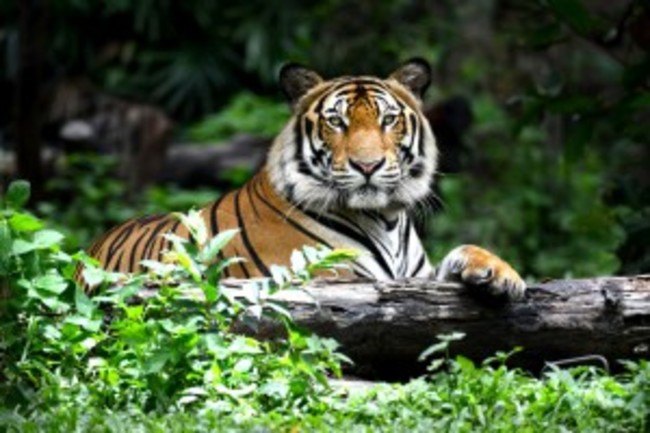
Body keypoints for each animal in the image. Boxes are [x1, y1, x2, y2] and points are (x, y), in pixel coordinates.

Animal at [83, 58, 526, 300]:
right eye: (337, 122)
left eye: (388, 119)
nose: (368, 166)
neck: (385, 219)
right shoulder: (330, 279)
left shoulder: (415, 279)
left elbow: (463, 252)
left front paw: (501, 274)